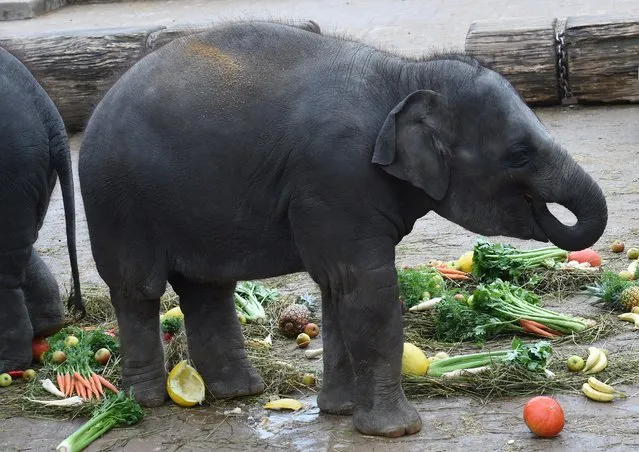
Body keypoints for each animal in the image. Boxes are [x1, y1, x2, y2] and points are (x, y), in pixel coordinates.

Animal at [77, 21, 608, 438]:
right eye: (519, 154)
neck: (406, 74)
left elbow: (338, 288)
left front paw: (341, 411)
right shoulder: (337, 175)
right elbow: (367, 288)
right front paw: (397, 430)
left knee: (206, 287)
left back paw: (238, 392)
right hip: (116, 200)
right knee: (138, 288)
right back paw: (145, 402)